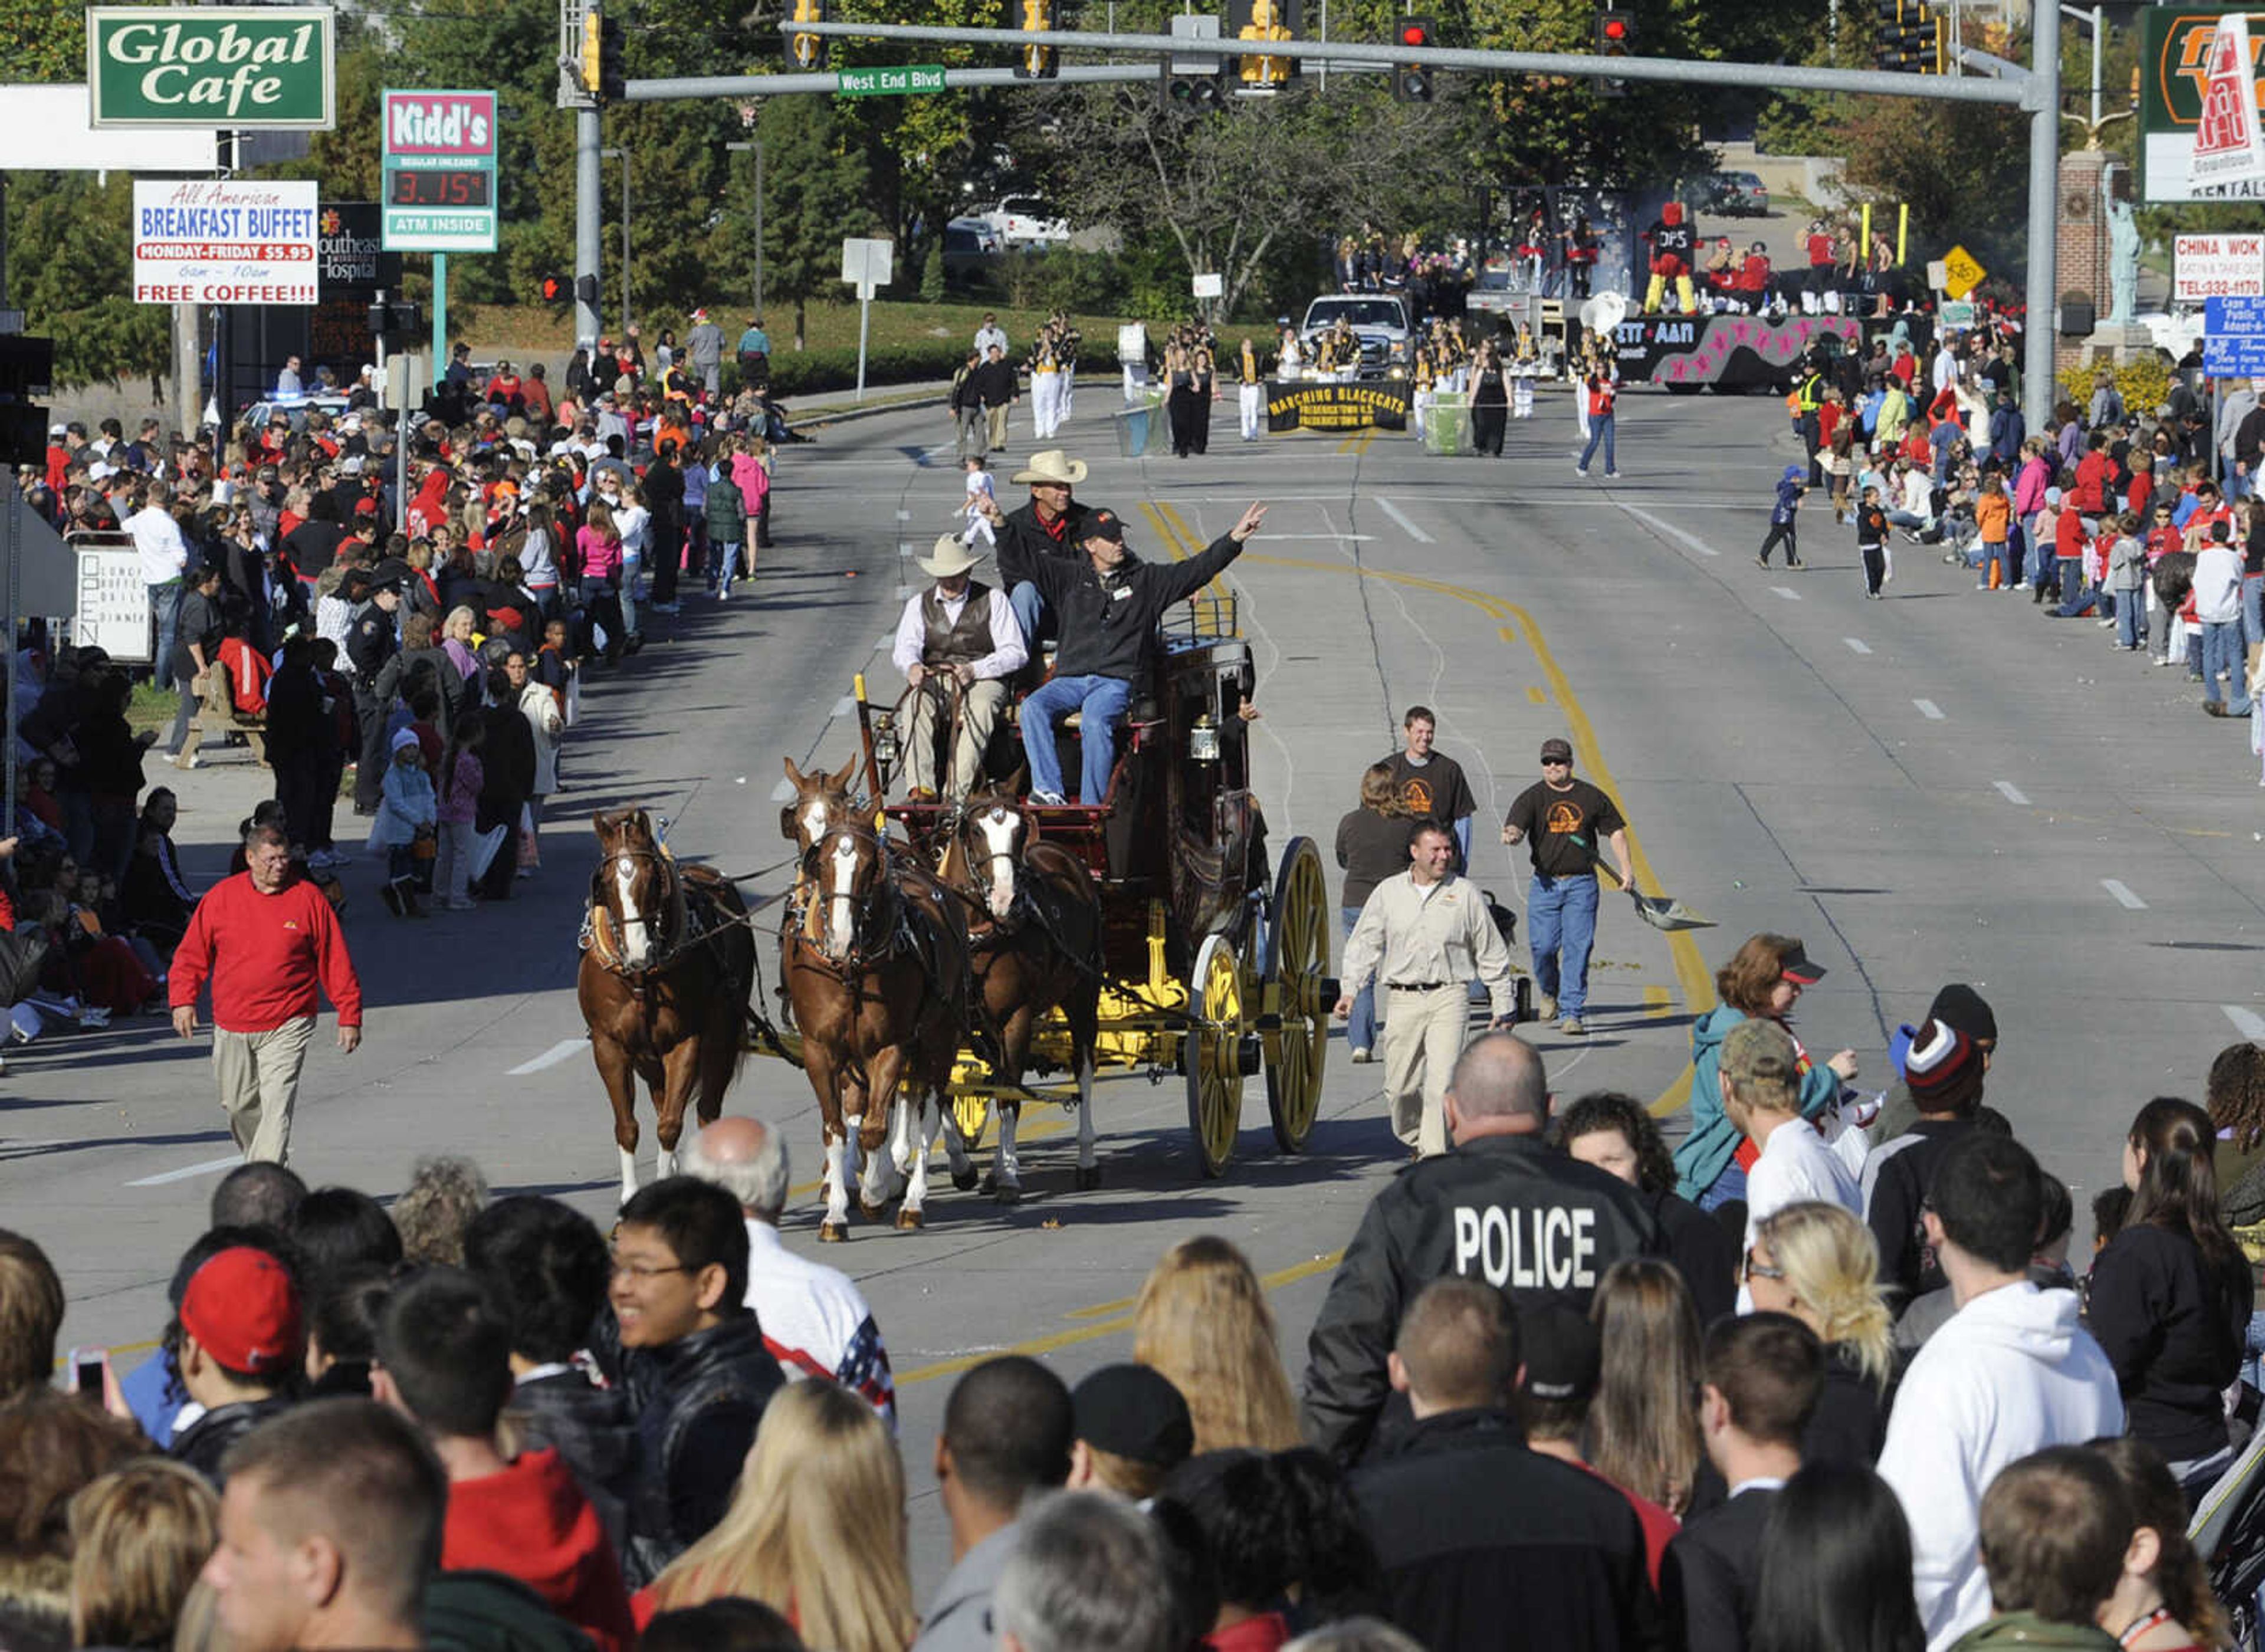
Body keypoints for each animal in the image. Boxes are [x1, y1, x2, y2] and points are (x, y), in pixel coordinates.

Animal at [575, 806, 761, 1196]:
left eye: (652, 879)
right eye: (606, 883)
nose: (638, 952)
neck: (641, 978)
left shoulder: (685, 1041)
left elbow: (670, 1124)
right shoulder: (609, 1045)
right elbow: (628, 1126)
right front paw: (631, 1194)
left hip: (721, 1036)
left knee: (708, 1109)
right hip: (648, 1058)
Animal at [783, 811, 969, 1233]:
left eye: (870, 867)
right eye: (822, 863)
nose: (840, 939)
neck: (851, 968)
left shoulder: (890, 1046)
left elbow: (874, 1128)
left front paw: (874, 1193)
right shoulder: (821, 1050)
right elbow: (836, 1129)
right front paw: (836, 1211)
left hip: (941, 1038)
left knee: (931, 1110)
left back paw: (912, 1199)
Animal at [937, 775, 1105, 1196]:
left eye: (1019, 829)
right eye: (976, 830)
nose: (1006, 899)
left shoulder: (1016, 1017)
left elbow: (1010, 1097)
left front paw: (1011, 1176)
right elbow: (944, 1090)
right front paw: (965, 1167)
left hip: (1083, 992)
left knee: (1084, 1070)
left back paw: (1086, 1159)